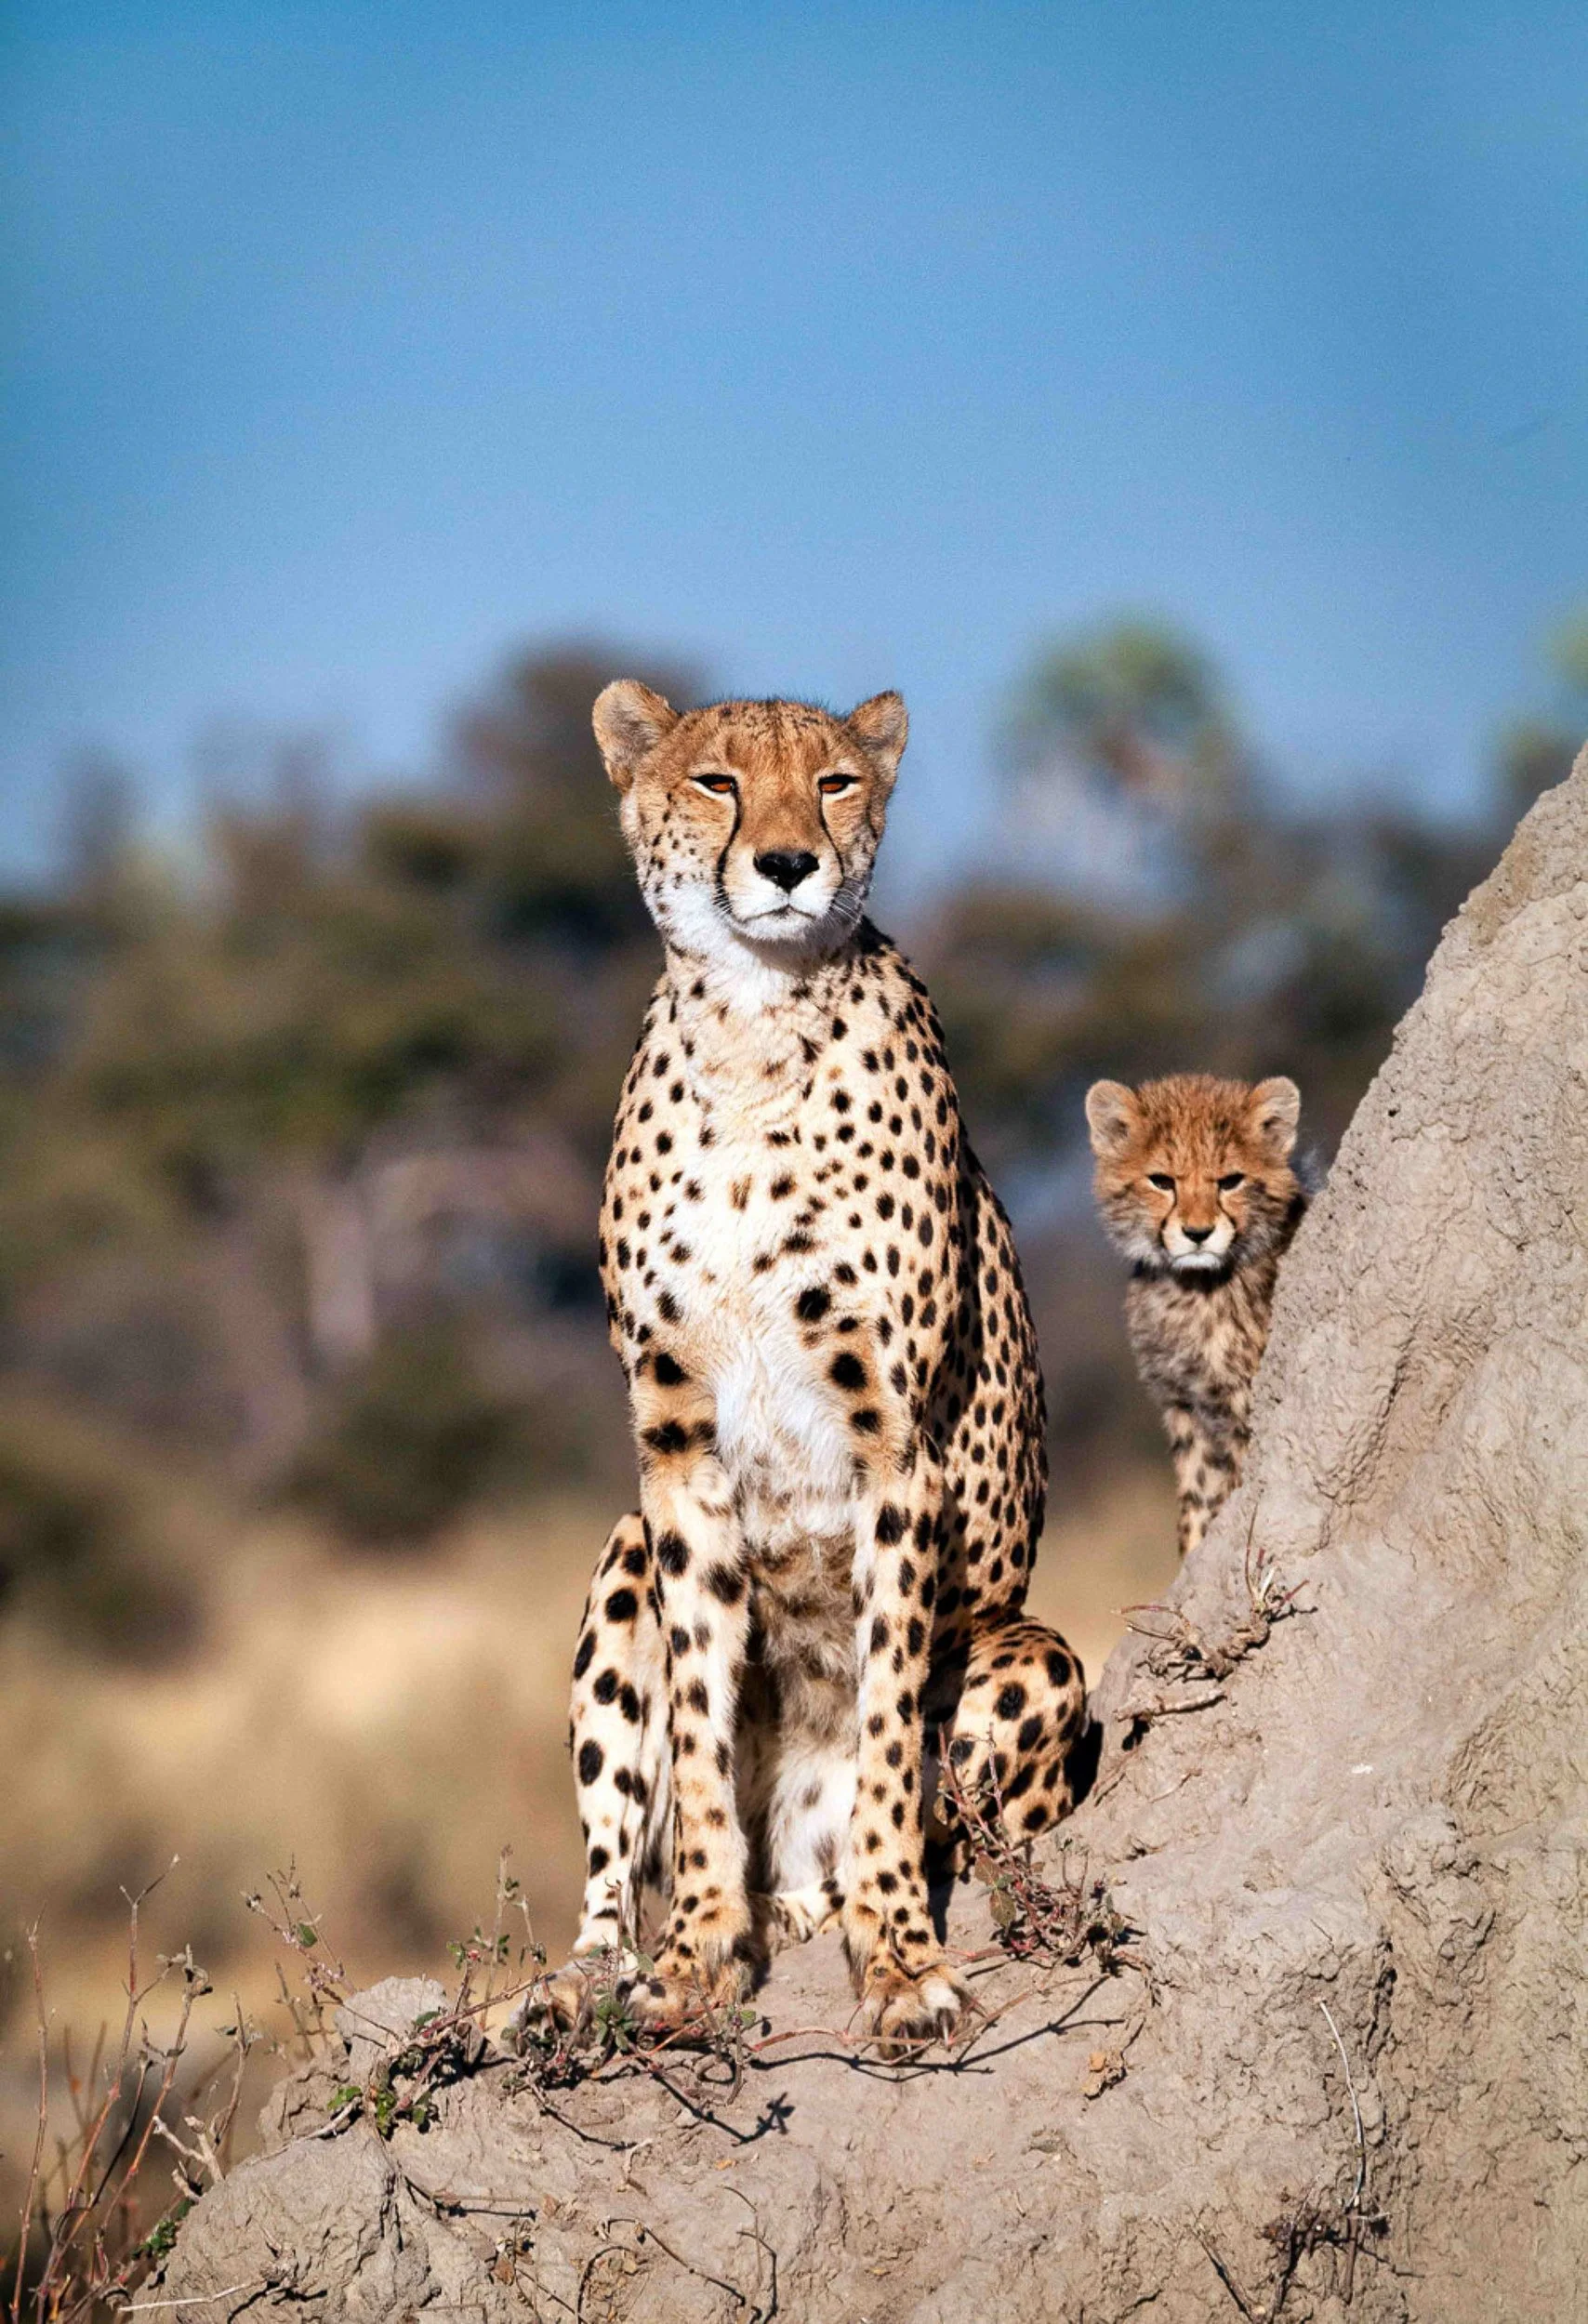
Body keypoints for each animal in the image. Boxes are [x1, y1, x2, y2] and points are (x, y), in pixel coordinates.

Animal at [541, 679, 1088, 2055]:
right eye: (719, 781)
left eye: (835, 783)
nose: (790, 864)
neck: (754, 1020)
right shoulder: (674, 1453)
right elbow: (692, 1740)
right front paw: (693, 1959)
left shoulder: (894, 1449)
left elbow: (889, 1734)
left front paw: (898, 1962)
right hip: (622, 1553)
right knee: (613, 1868)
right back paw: (579, 1989)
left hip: (1035, 1656)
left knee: (944, 1821)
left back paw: (836, 1902)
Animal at [1085, 1072, 1308, 1558]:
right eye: (1161, 1181)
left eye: (1230, 1181)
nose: (1198, 1233)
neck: (1191, 1288)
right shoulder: (1185, 1403)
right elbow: (1197, 1498)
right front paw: (1190, 1556)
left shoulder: (1241, 1405)